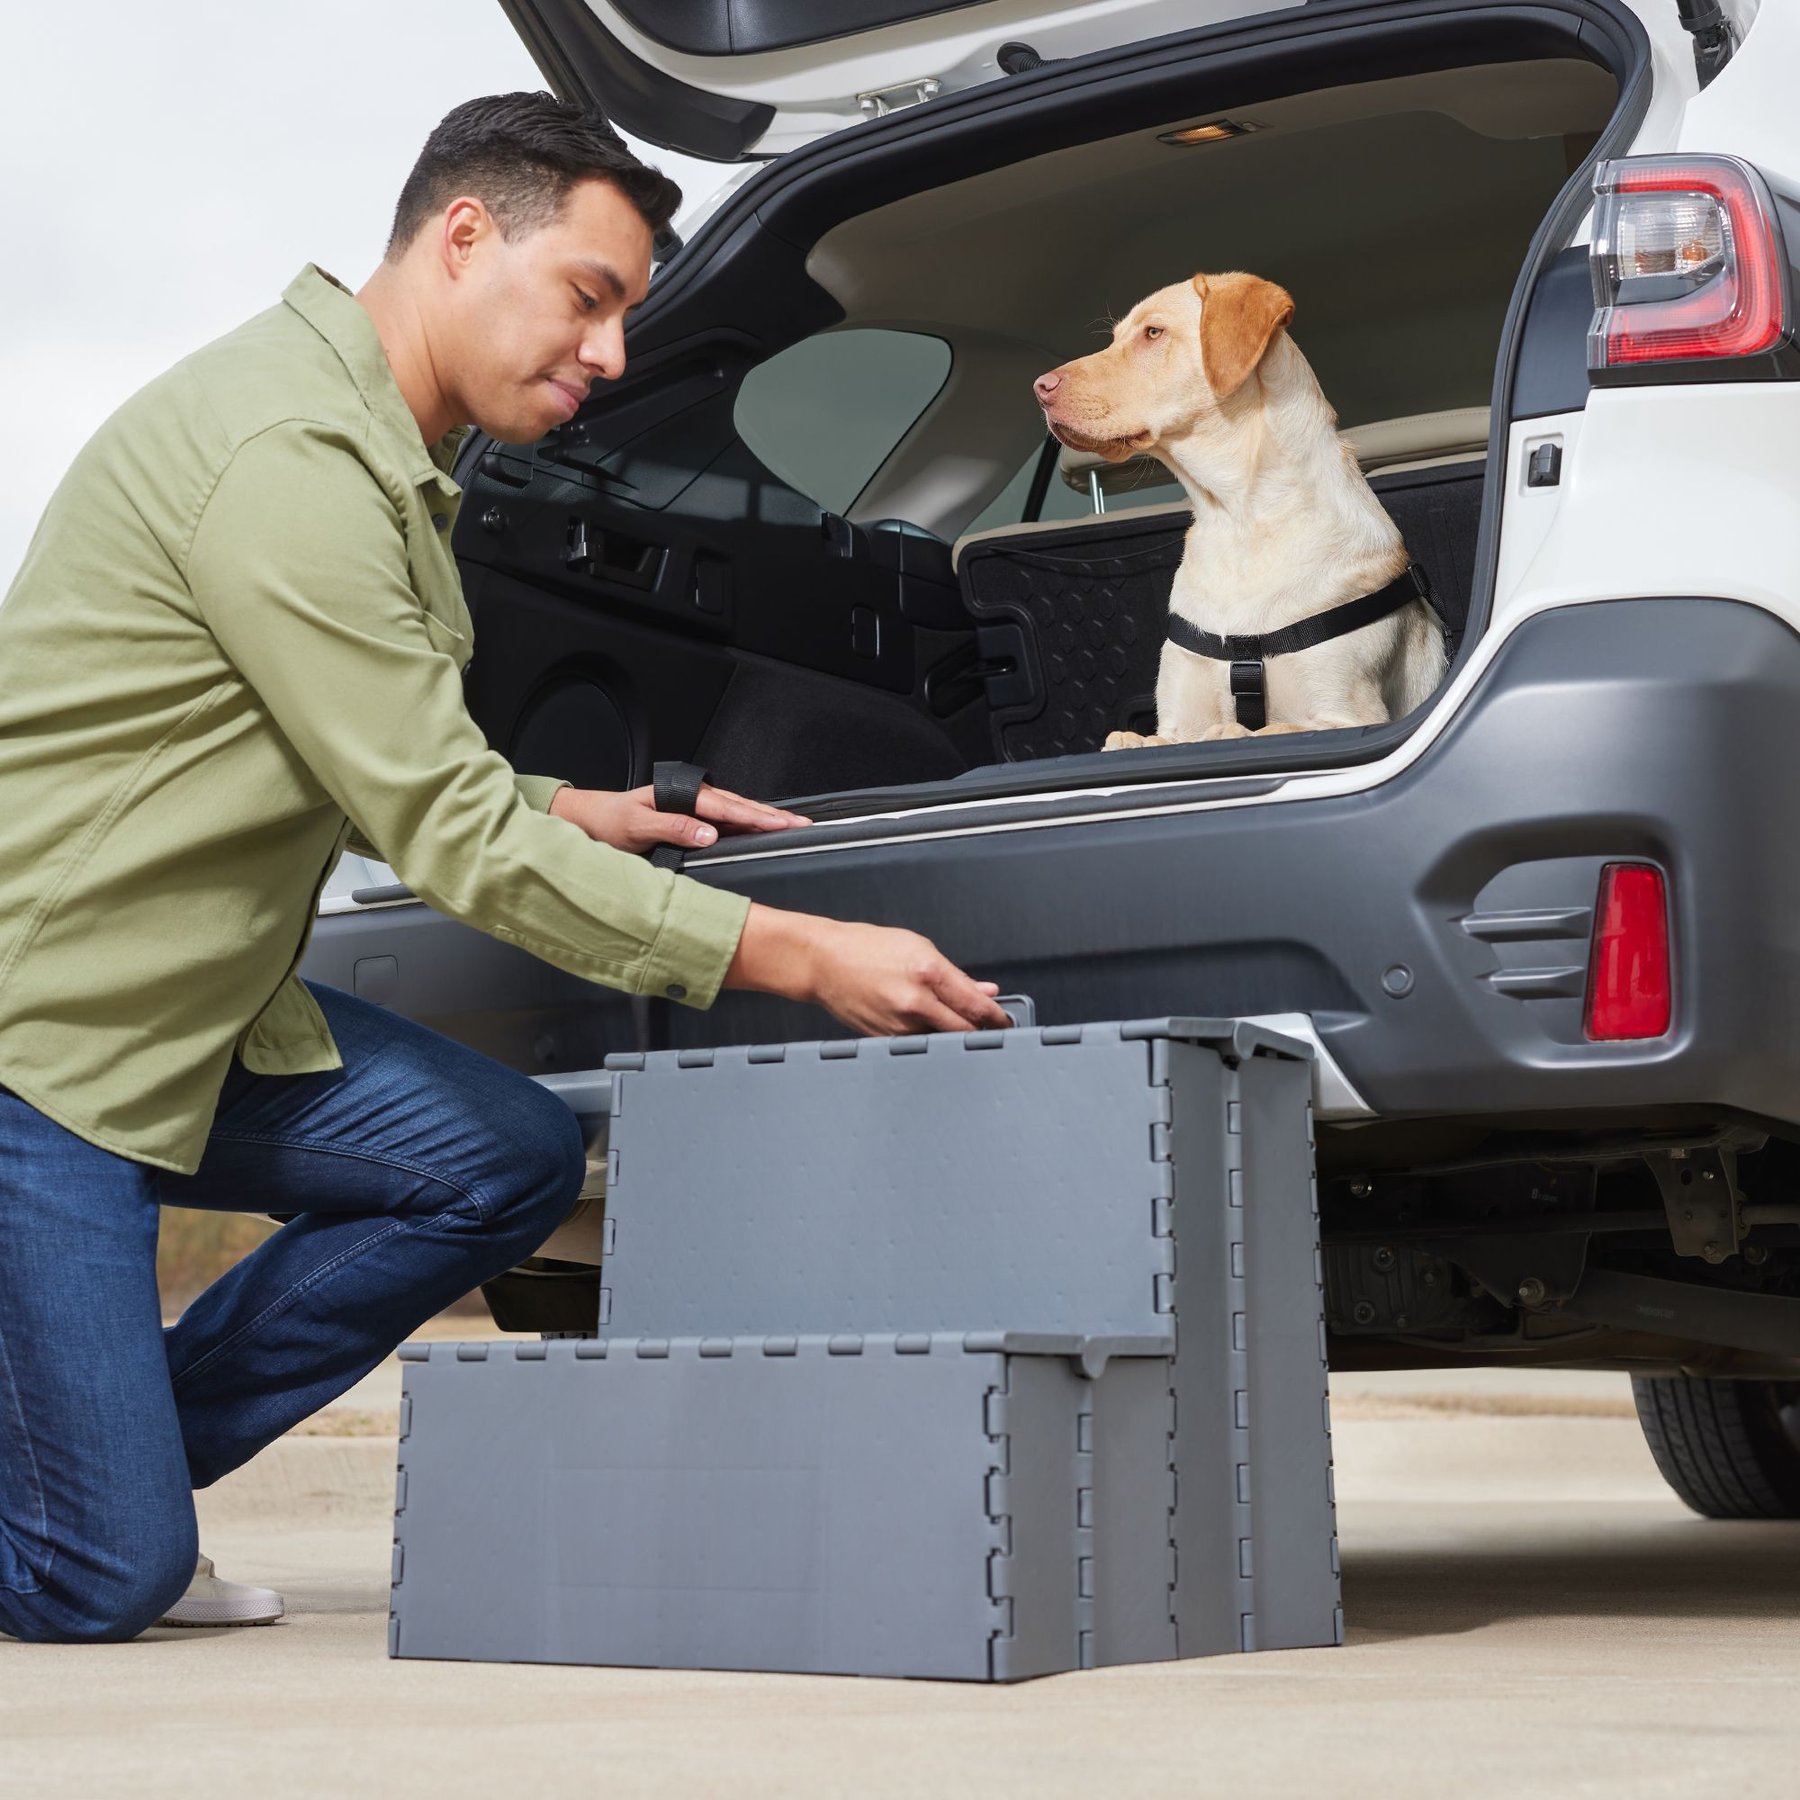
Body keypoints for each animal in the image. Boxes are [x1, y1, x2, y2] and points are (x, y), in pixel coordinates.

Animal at [1036, 268, 1440, 745]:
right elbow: (1134, 739)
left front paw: (1229, 732)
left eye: (1153, 332)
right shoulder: (1176, 723)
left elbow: (1266, 729)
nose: (1039, 388)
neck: (1238, 519)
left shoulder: (1350, 717)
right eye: (1114, 339)